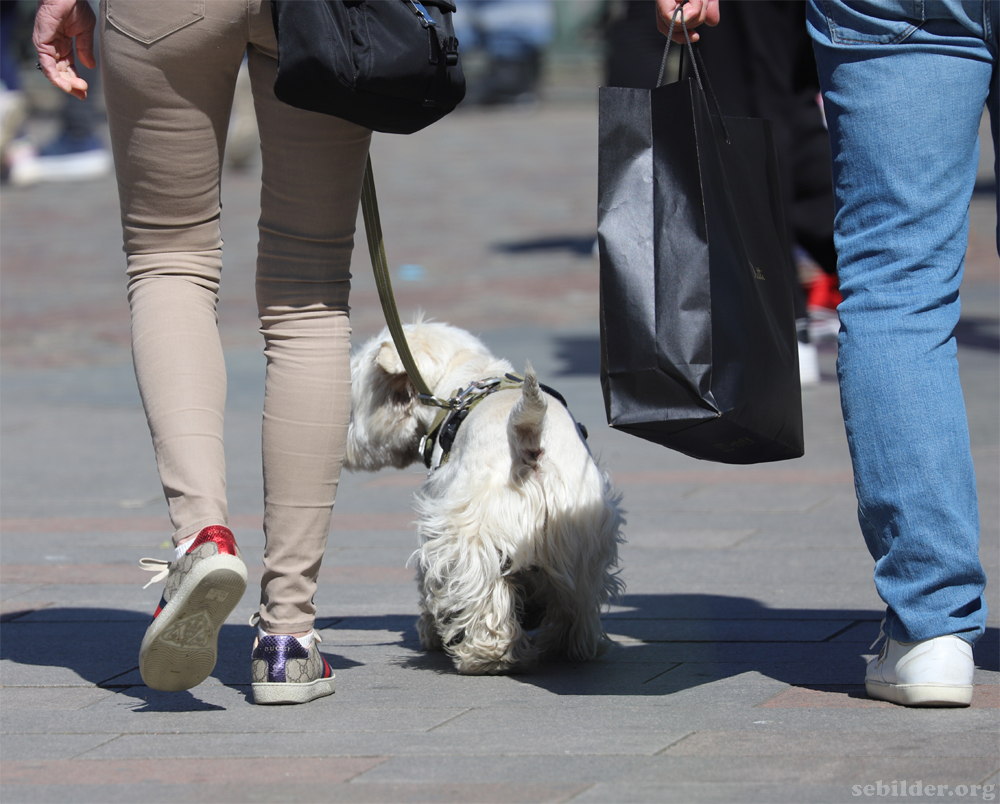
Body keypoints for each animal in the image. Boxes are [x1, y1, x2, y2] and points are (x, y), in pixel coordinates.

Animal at [345, 320, 624, 675]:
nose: (345, 447)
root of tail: (529, 440)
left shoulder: (441, 522)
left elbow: (429, 583)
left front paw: (430, 633)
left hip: (474, 534)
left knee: (484, 595)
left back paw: (486, 655)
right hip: (582, 535)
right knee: (576, 602)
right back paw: (568, 646)